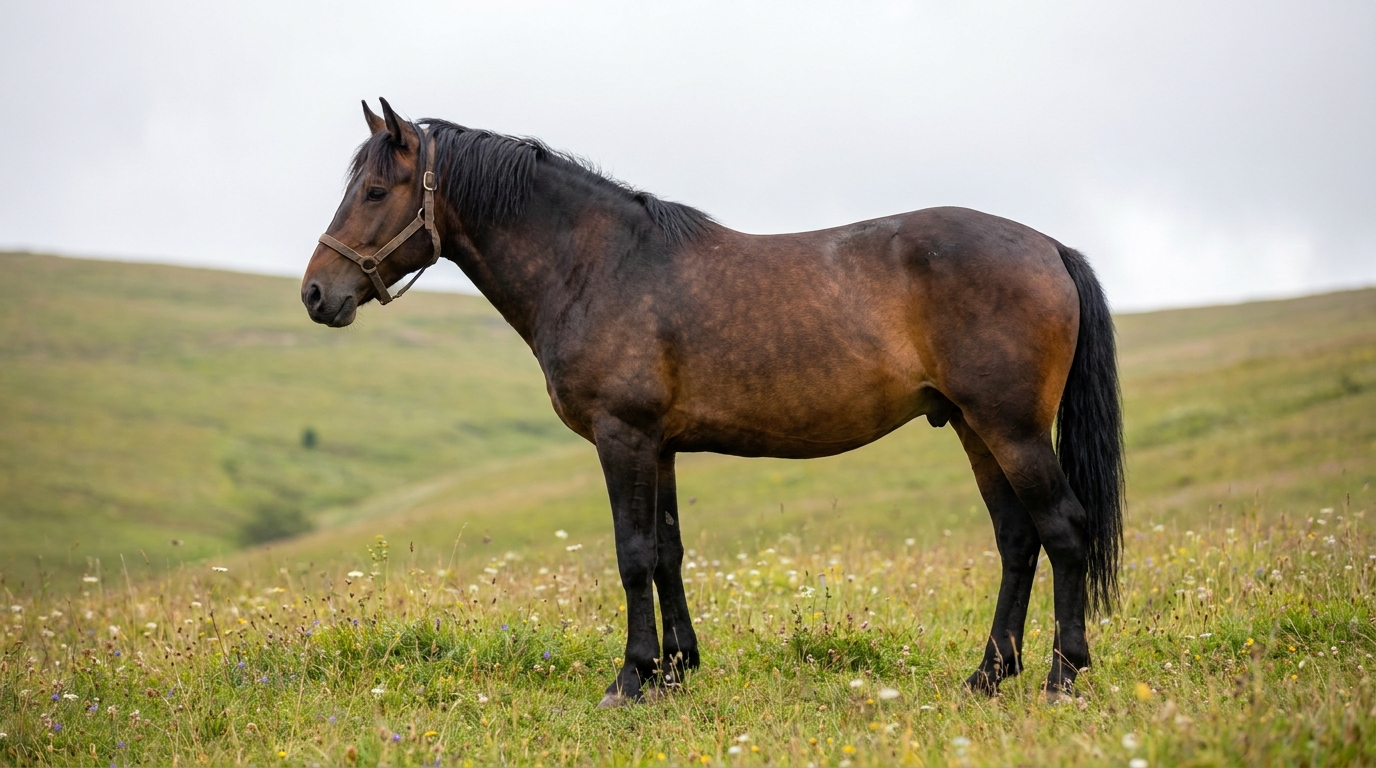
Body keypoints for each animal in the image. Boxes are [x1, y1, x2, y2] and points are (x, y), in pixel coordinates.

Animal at [301, 99, 1124, 706]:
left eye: (375, 192)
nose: (315, 294)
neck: (598, 263)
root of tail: (1049, 246)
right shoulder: (658, 445)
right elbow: (667, 552)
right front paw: (675, 671)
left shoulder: (623, 437)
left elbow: (633, 553)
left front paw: (631, 678)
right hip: (974, 429)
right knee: (1017, 540)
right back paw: (988, 676)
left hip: (1012, 429)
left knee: (1064, 530)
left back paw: (1063, 676)